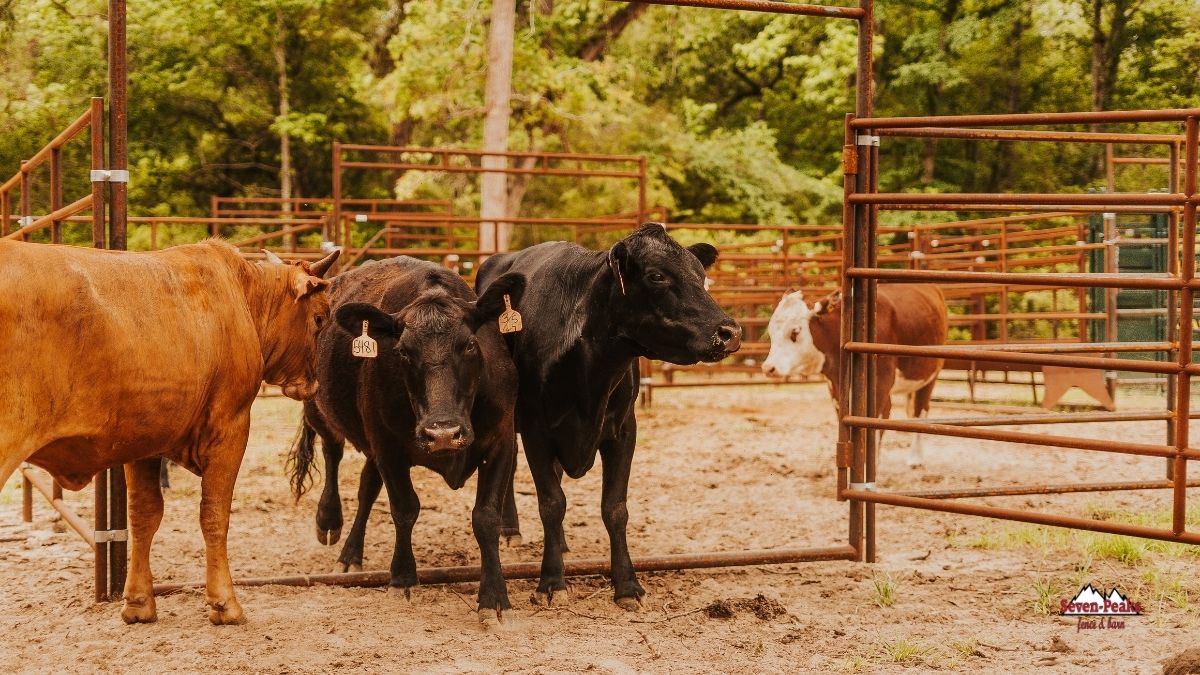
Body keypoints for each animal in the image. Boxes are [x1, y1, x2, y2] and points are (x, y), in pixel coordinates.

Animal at [0, 240, 339, 625]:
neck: (243, 295)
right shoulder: (230, 428)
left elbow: (144, 515)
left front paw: (138, 603)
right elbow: (215, 514)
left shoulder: (144, 440)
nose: (312, 384)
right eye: (319, 318)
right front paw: (225, 603)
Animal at [286, 256, 525, 627]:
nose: (443, 432)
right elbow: (404, 508)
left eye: (471, 345)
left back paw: (351, 552)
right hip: (319, 410)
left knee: (367, 487)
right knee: (332, 453)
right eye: (402, 352)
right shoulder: (388, 447)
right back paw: (329, 521)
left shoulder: (501, 441)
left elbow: (486, 517)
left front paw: (495, 597)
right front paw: (401, 578)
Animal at [474, 223, 742, 610]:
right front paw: (551, 581)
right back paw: (511, 530)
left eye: (701, 274)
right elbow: (551, 503)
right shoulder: (537, 430)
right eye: (656, 275)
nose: (730, 332)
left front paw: (627, 584)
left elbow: (615, 509)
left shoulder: (623, 431)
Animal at [760, 284, 947, 466]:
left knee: (919, 411)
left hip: (930, 377)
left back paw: (915, 457)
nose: (768, 367)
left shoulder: (880, 385)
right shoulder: (836, 389)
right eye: (771, 331)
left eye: (795, 332)